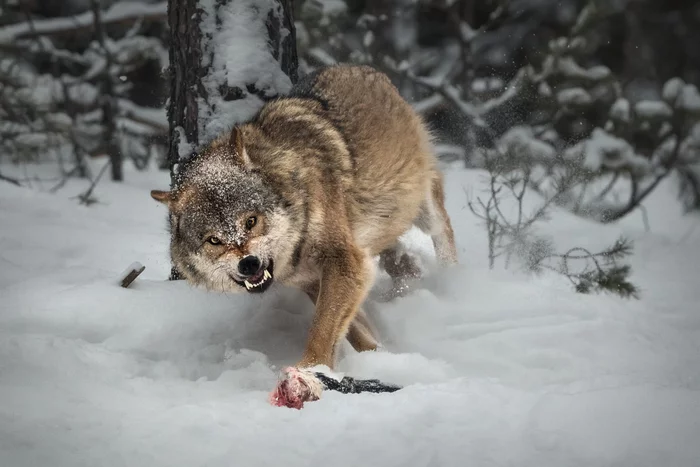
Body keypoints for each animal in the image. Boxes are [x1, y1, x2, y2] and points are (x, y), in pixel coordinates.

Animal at [152, 64, 460, 374]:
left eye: (251, 221)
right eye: (214, 240)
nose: (248, 263)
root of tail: (361, 68)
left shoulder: (343, 261)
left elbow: (322, 328)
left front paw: (311, 369)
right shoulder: (314, 281)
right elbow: (351, 329)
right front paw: (375, 354)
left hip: (423, 209)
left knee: (444, 231)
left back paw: (452, 280)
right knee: (398, 259)